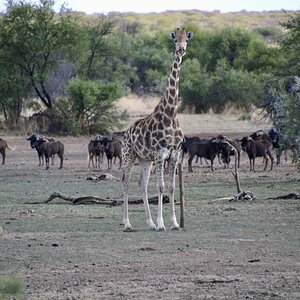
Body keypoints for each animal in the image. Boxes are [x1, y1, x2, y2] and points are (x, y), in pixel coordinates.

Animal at [121, 28, 193, 231]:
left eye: (187, 40)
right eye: (175, 40)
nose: (181, 49)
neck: (170, 114)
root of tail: (125, 134)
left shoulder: (174, 154)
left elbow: (171, 187)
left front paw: (174, 223)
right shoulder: (161, 153)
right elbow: (160, 187)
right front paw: (162, 224)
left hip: (145, 159)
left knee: (142, 184)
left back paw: (150, 223)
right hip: (129, 154)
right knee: (125, 181)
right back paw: (127, 223)